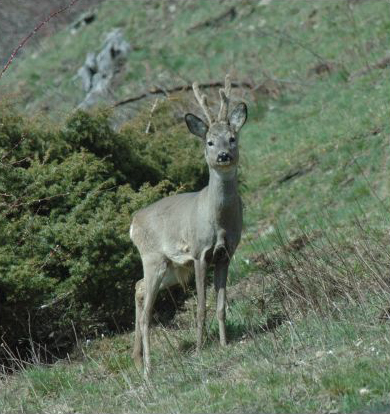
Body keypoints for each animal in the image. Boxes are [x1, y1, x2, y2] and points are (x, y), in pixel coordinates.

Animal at [130, 74, 247, 376]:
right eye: (209, 141)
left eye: (232, 138)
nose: (223, 156)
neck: (218, 221)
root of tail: (133, 223)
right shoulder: (198, 252)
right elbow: (201, 307)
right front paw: (198, 348)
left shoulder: (225, 254)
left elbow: (221, 305)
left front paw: (224, 344)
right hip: (153, 258)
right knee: (146, 313)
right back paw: (148, 369)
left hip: (172, 267)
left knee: (138, 287)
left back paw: (136, 358)